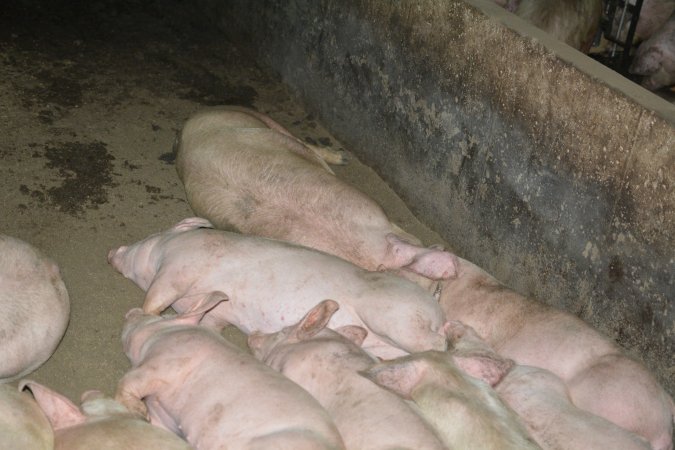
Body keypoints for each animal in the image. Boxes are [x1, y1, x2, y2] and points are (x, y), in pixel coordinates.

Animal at [107, 217, 448, 359]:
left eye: (145, 237)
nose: (111, 252)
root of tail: (438, 314)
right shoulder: (219, 314)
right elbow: (209, 322)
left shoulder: (179, 267)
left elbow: (156, 296)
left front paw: (142, 314)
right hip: (385, 342)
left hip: (394, 317)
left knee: (436, 344)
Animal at [115, 293, 345, 450]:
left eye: (162, 317)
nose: (132, 311)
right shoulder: (163, 415)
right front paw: (144, 418)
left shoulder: (167, 360)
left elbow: (129, 380)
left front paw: (137, 413)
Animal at [175, 106, 459, 281]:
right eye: (436, 292)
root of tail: (187, 129)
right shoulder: (381, 216)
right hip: (253, 119)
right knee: (298, 140)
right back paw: (342, 158)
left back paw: (342, 158)